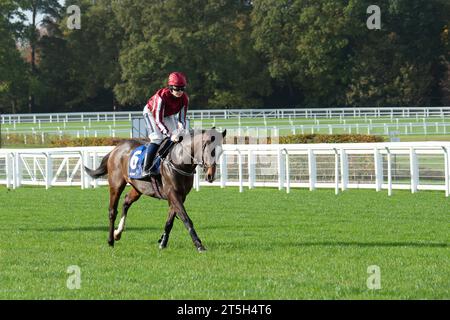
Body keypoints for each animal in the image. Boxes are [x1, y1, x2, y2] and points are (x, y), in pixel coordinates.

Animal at [83, 128, 227, 252]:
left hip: (138, 187)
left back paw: (118, 233)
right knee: (112, 211)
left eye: (220, 152)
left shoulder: (180, 195)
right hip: (116, 184)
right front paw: (198, 244)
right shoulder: (173, 193)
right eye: (211, 151)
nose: (210, 176)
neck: (179, 160)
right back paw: (110, 240)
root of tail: (116, 148)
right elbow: (186, 218)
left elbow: (170, 221)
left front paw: (163, 242)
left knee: (126, 202)